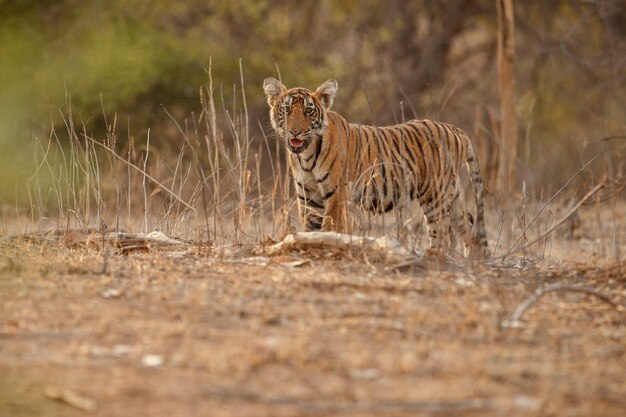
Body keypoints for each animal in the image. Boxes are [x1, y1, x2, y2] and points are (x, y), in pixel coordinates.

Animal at [260, 77, 490, 258]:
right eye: (286, 110)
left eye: (308, 111)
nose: (295, 132)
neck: (305, 157)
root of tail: (458, 130)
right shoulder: (309, 198)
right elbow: (310, 228)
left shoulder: (336, 194)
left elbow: (330, 227)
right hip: (452, 196)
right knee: (470, 228)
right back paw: (472, 261)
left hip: (435, 195)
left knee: (443, 233)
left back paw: (435, 257)